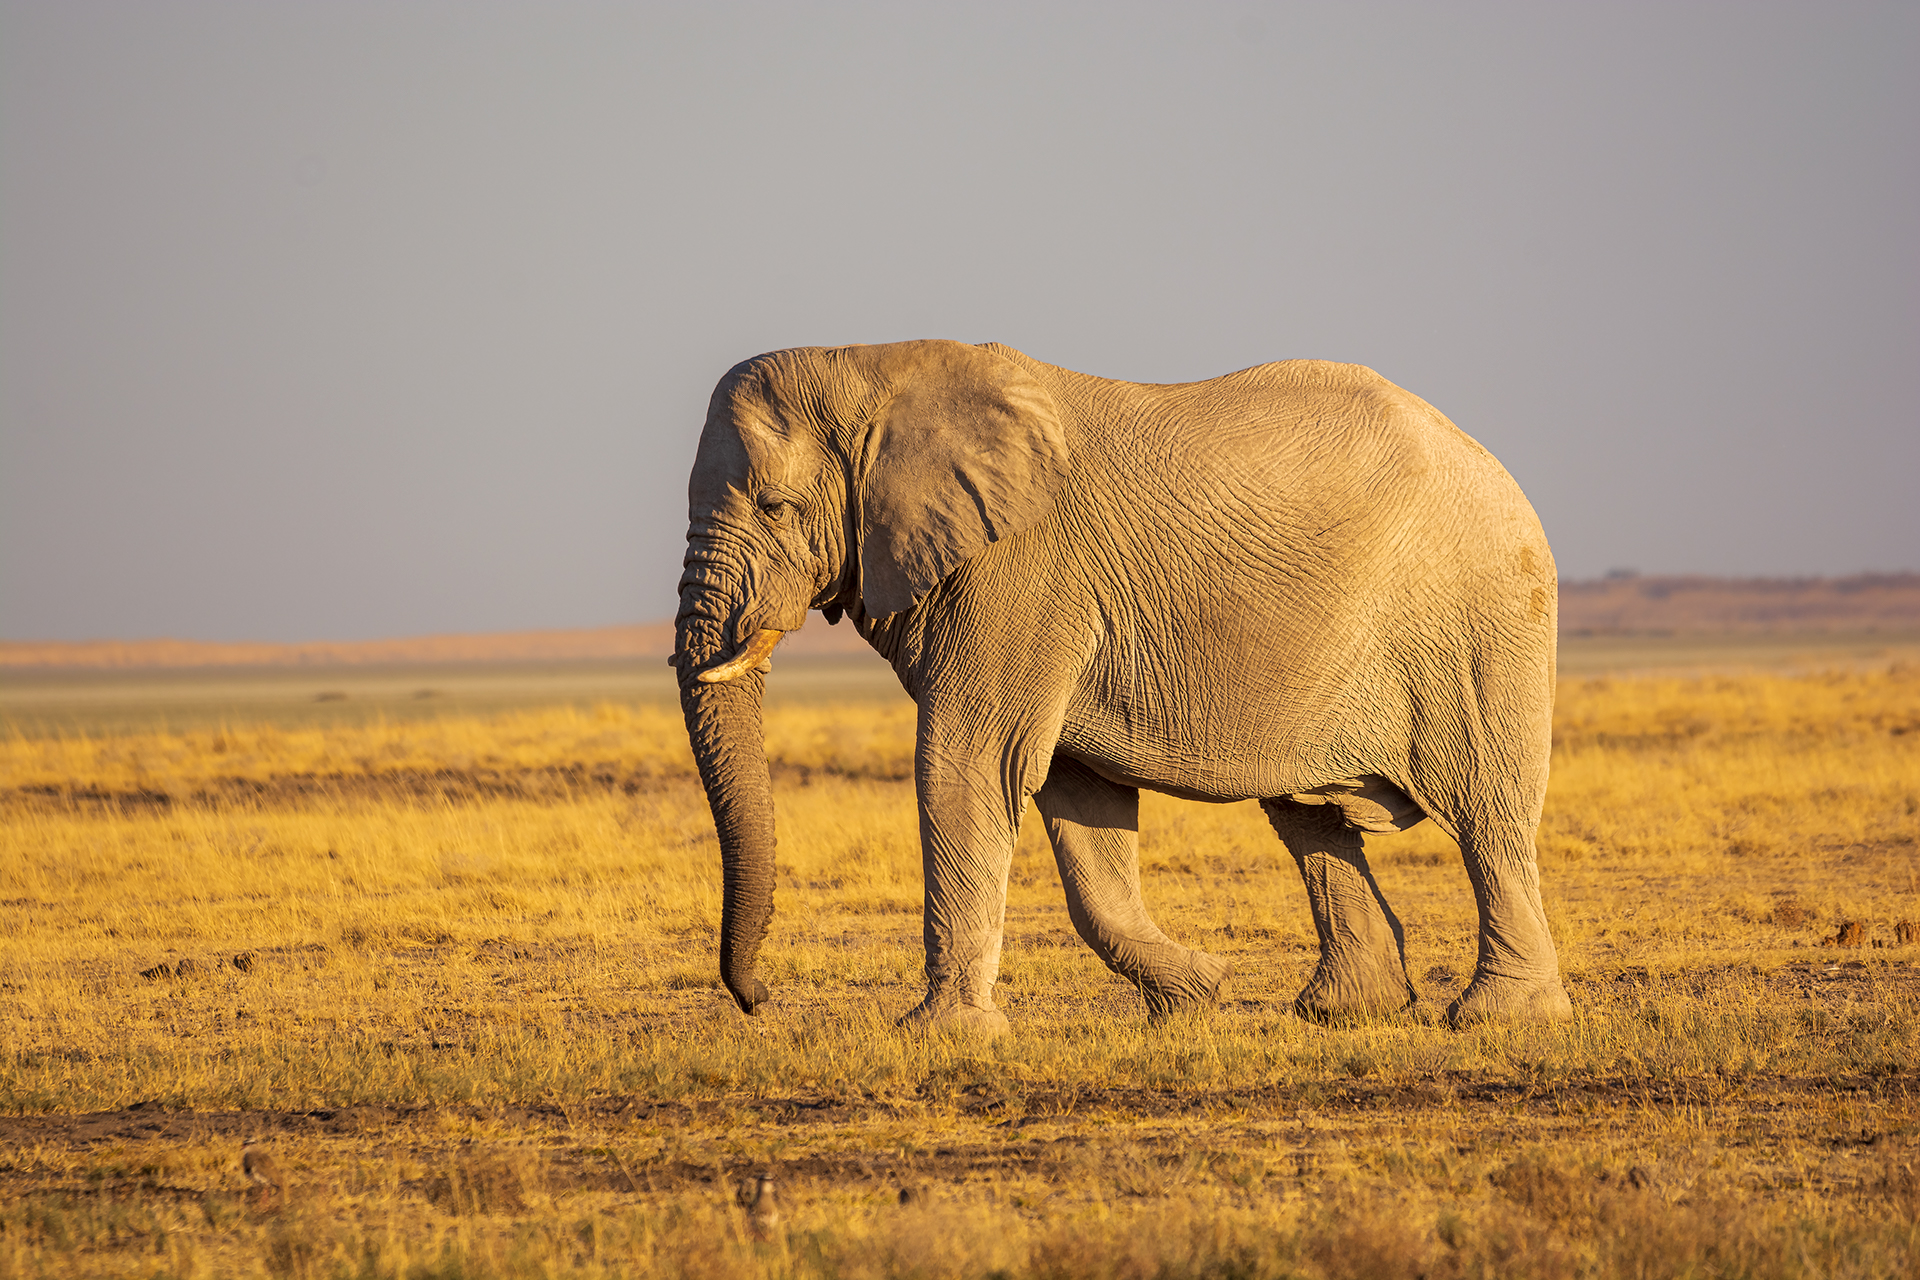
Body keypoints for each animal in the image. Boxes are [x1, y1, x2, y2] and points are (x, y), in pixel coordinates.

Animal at [673, 338, 1572, 1034]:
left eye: (775, 505)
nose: (760, 999)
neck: (873, 363)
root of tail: (1495, 465)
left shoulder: (1023, 572)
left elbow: (968, 765)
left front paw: (942, 1035)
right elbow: (1078, 800)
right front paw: (1198, 996)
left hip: (1480, 620)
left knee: (1488, 816)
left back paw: (1501, 1019)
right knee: (1310, 819)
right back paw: (1345, 1013)